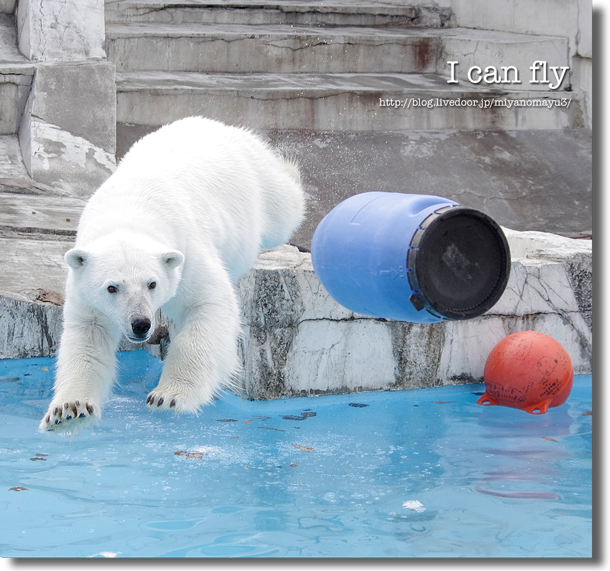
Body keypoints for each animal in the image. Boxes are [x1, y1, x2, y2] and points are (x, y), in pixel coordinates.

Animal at [39, 118, 302, 436]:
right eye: (112, 288)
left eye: (152, 283)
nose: (141, 324)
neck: (128, 210)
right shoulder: (84, 288)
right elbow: (87, 339)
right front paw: (68, 410)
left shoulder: (186, 254)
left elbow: (209, 303)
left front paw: (169, 396)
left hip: (256, 180)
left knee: (283, 205)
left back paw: (289, 172)